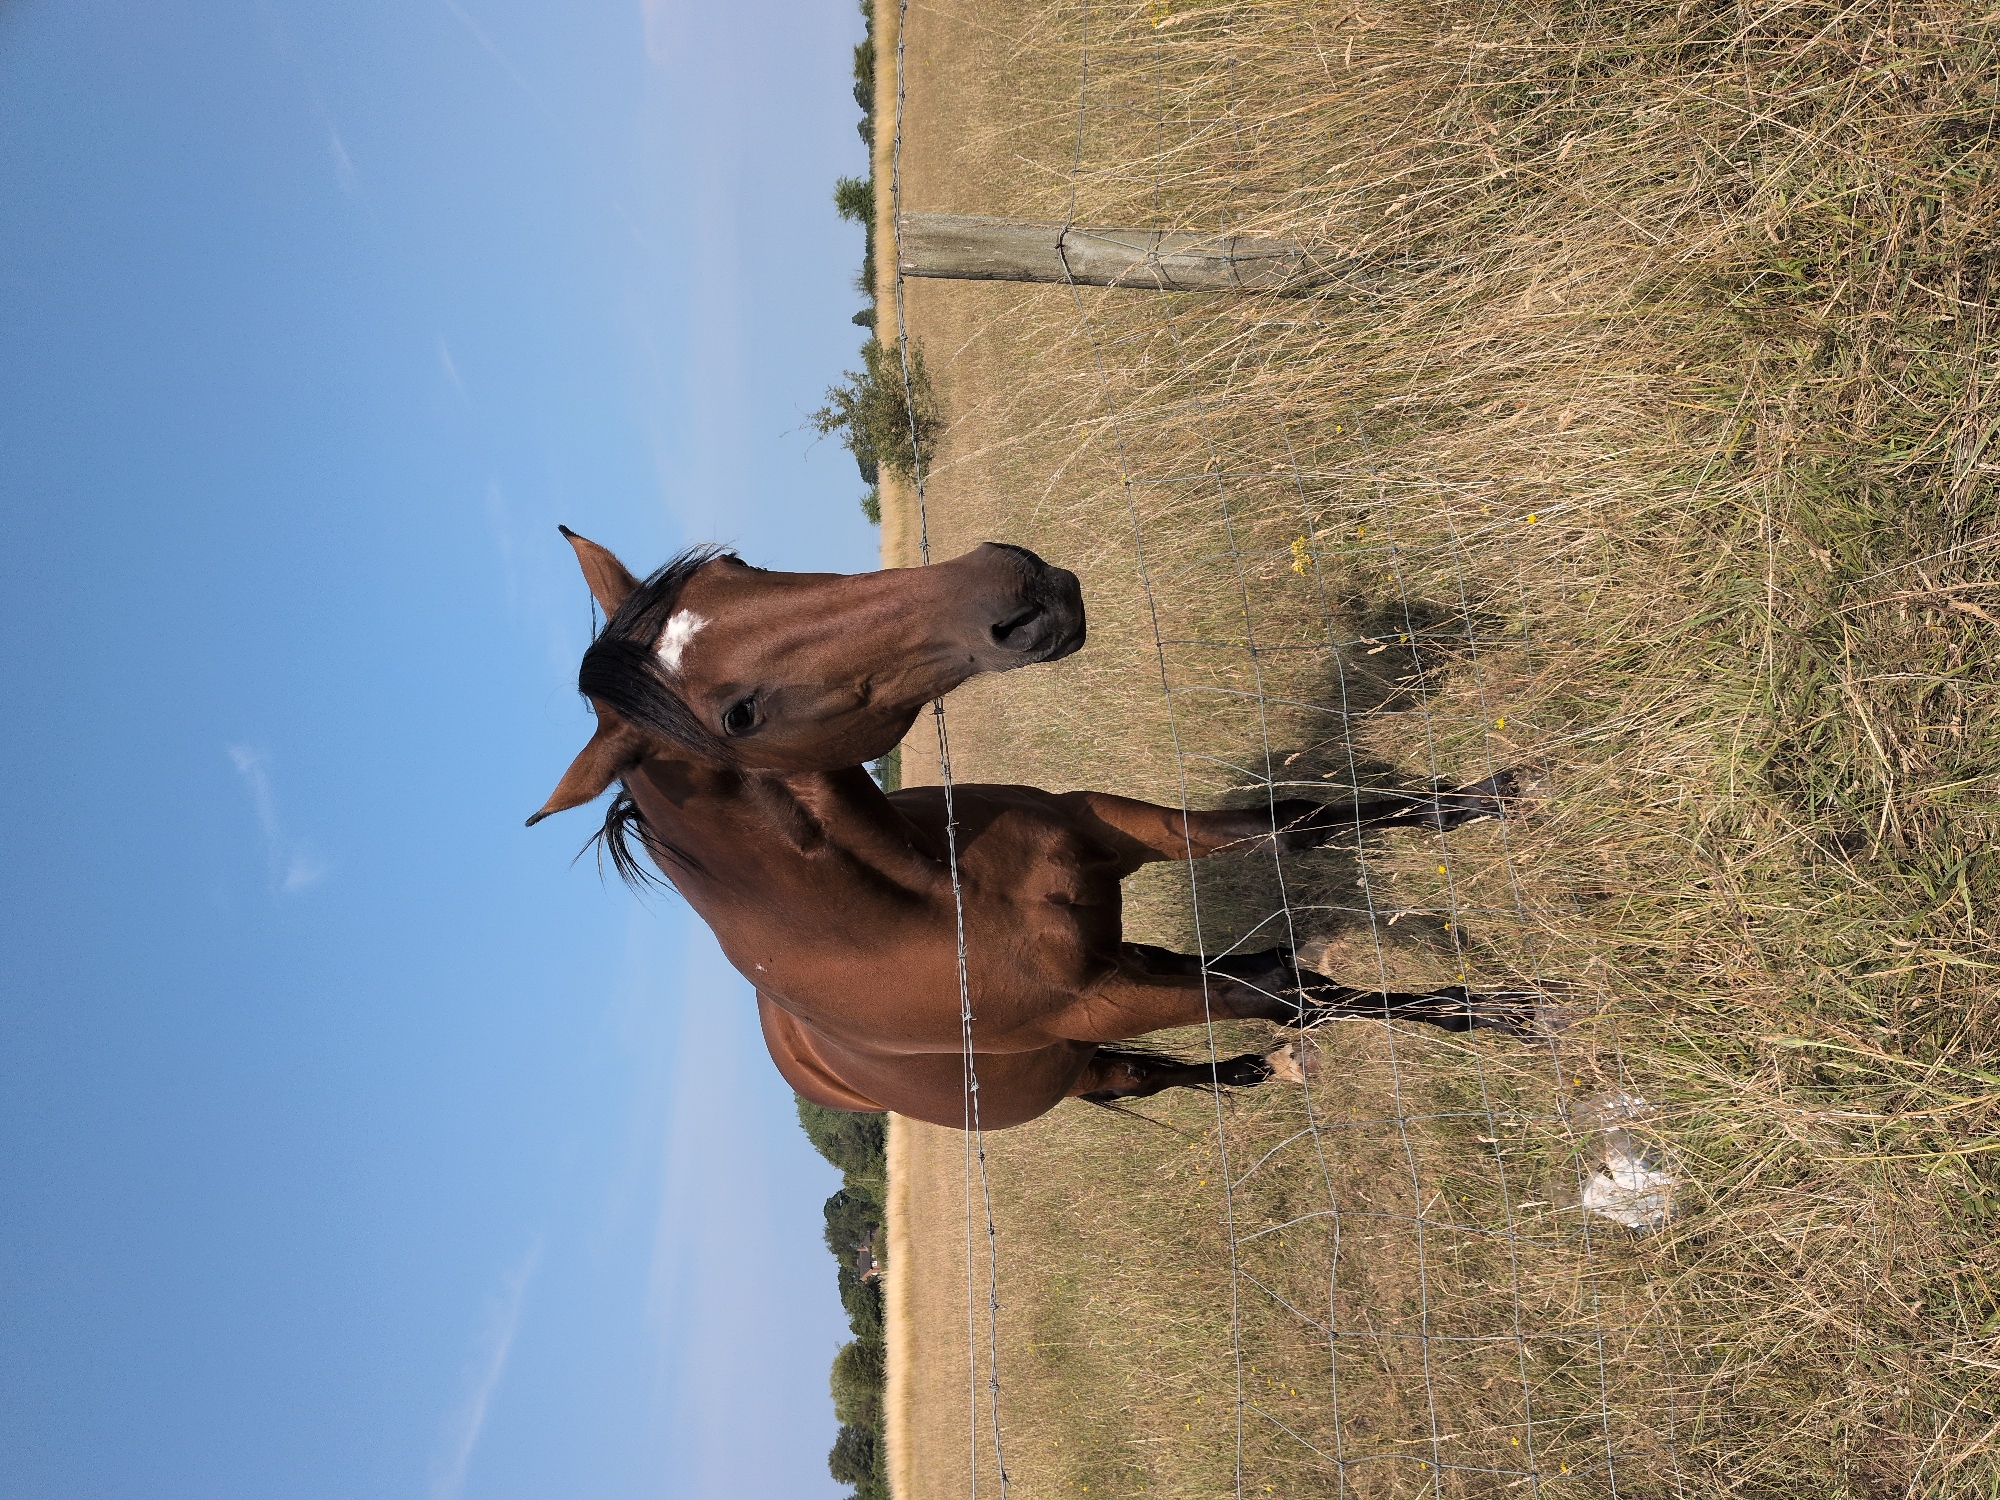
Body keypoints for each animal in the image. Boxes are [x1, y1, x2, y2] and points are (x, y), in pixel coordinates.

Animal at [529, 530, 1542, 1130]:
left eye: (735, 566)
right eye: (737, 715)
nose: (1016, 585)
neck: (934, 894)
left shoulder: (1123, 832)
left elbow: (1296, 824)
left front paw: (1475, 801)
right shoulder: (1099, 1001)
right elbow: (1290, 992)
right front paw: (1496, 1010)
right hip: (1082, 1058)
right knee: (1151, 1070)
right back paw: (1251, 1073)